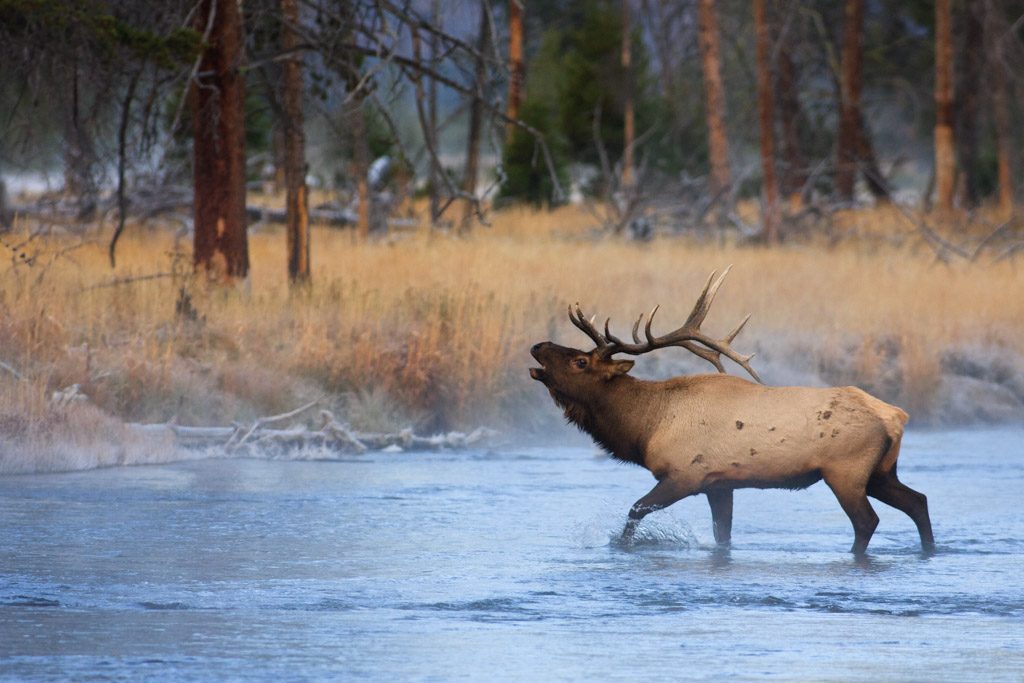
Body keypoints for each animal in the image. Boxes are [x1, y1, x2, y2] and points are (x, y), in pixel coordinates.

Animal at [528, 266, 937, 557]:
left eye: (580, 361)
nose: (537, 345)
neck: (646, 427)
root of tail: (896, 417)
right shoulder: (720, 484)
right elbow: (721, 534)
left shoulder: (686, 475)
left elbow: (635, 510)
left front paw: (620, 546)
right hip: (880, 471)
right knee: (918, 500)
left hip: (846, 470)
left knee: (867, 520)